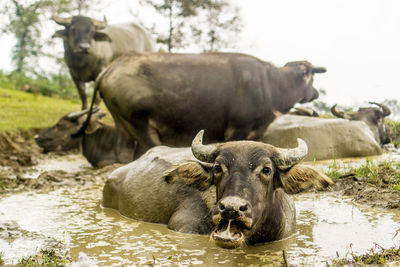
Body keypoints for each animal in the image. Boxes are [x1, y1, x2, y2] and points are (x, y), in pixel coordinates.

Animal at [95, 52, 326, 157]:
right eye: (311, 78)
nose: (315, 92)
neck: (272, 84)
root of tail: (112, 67)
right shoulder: (237, 128)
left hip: (122, 125)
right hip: (141, 124)